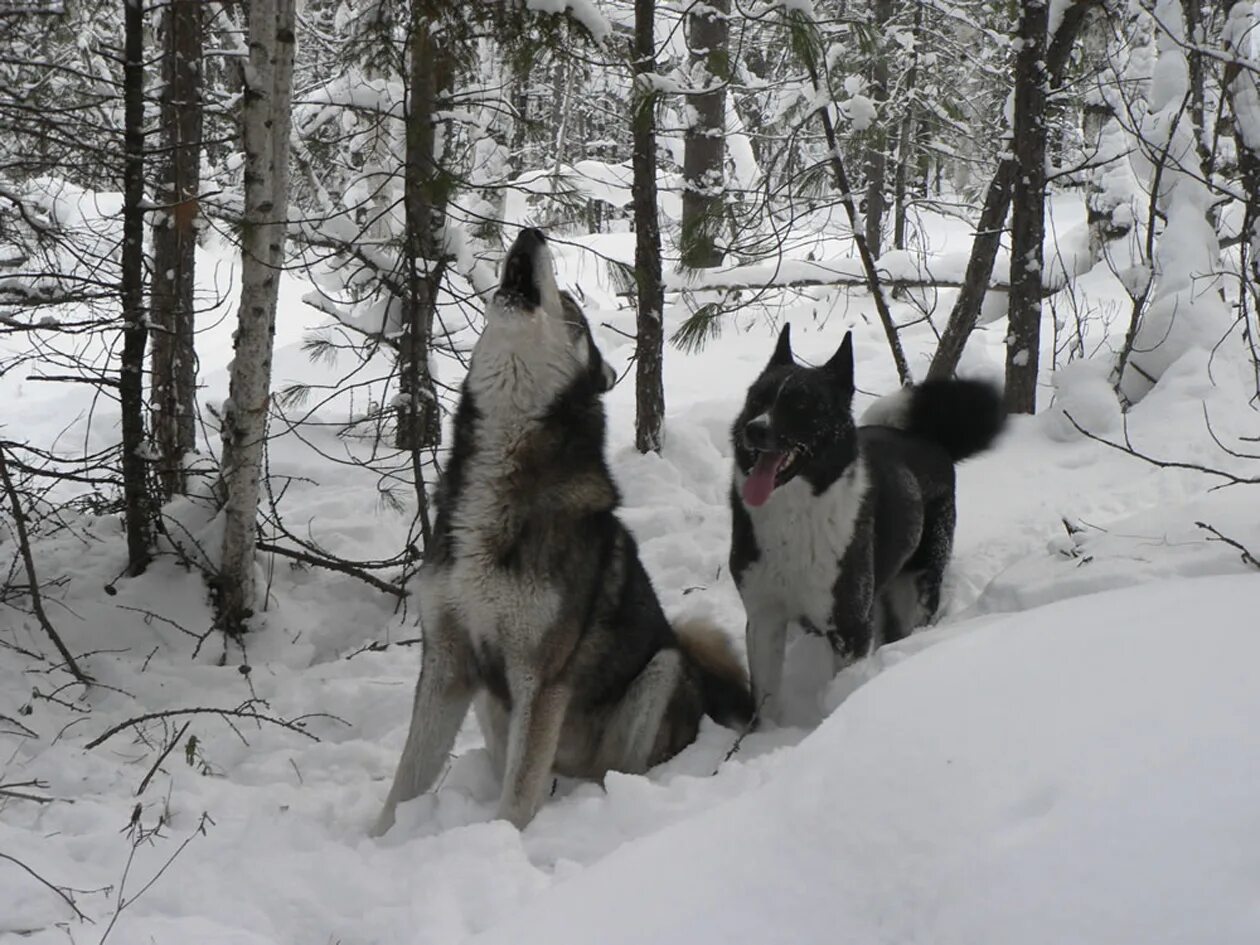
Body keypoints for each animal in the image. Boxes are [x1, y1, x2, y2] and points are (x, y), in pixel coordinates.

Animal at [370, 229, 745, 836]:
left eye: (569, 308)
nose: (531, 232)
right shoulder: (447, 661)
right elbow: (408, 779)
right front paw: (380, 840)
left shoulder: (540, 679)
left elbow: (518, 799)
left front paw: (500, 842)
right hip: (493, 701)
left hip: (661, 670)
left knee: (614, 769)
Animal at [730, 325, 1002, 725]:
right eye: (756, 399)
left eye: (801, 405)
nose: (754, 430)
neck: (794, 514)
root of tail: (928, 439)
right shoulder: (764, 617)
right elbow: (764, 701)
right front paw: (762, 738)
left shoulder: (850, 626)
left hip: (919, 581)